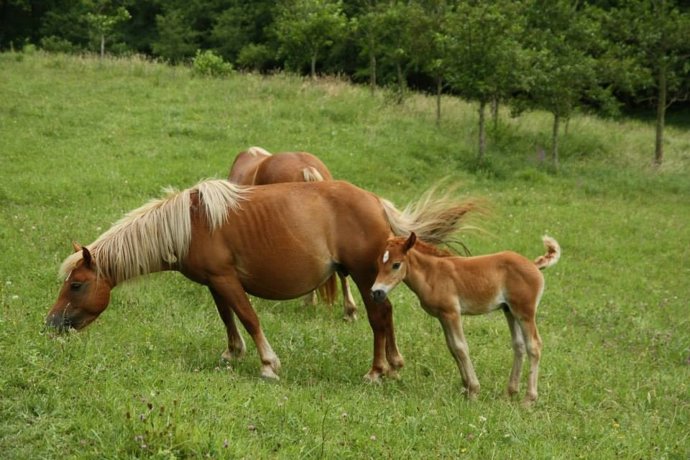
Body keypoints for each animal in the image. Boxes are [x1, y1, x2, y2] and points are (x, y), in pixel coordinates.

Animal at [46, 179, 478, 382]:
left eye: (76, 284)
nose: (51, 324)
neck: (191, 224)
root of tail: (375, 202)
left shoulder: (226, 279)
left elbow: (249, 318)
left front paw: (268, 364)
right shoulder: (215, 282)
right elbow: (228, 319)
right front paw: (231, 354)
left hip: (362, 275)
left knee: (378, 319)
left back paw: (376, 370)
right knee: (385, 317)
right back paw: (393, 363)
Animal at [371, 232, 560, 403]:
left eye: (396, 264)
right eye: (379, 262)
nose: (376, 292)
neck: (432, 274)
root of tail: (533, 265)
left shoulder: (452, 313)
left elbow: (461, 347)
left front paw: (474, 391)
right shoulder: (442, 316)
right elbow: (452, 348)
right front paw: (466, 387)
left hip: (524, 312)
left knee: (534, 346)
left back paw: (529, 399)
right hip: (509, 311)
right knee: (519, 345)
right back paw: (510, 393)